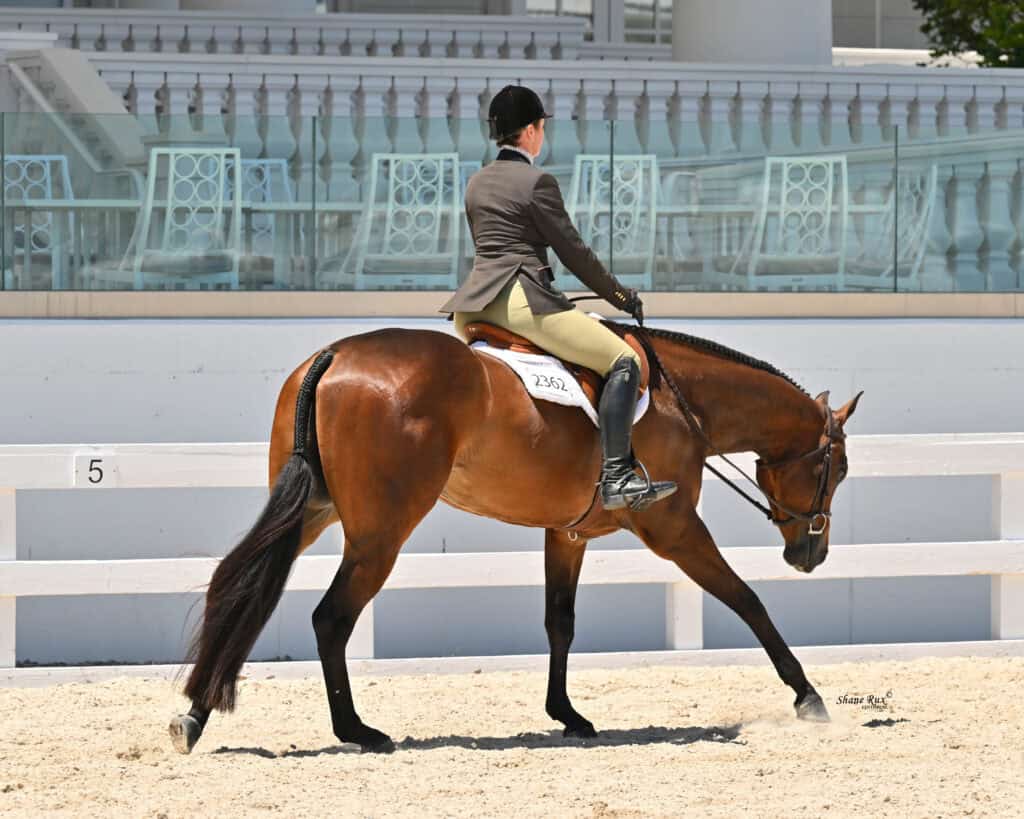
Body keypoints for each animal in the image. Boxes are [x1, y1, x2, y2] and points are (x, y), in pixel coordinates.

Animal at [169, 321, 862, 754]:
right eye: (839, 469)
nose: (811, 554)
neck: (681, 399)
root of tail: (334, 355)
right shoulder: (674, 527)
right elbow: (748, 601)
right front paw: (808, 697)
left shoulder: (569, 533)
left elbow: (560, 622)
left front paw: (568, 716)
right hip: (379, 533)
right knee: (330, 618)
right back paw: (358, 731)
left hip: (313, 511)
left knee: (240, 591)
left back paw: (193, 714)